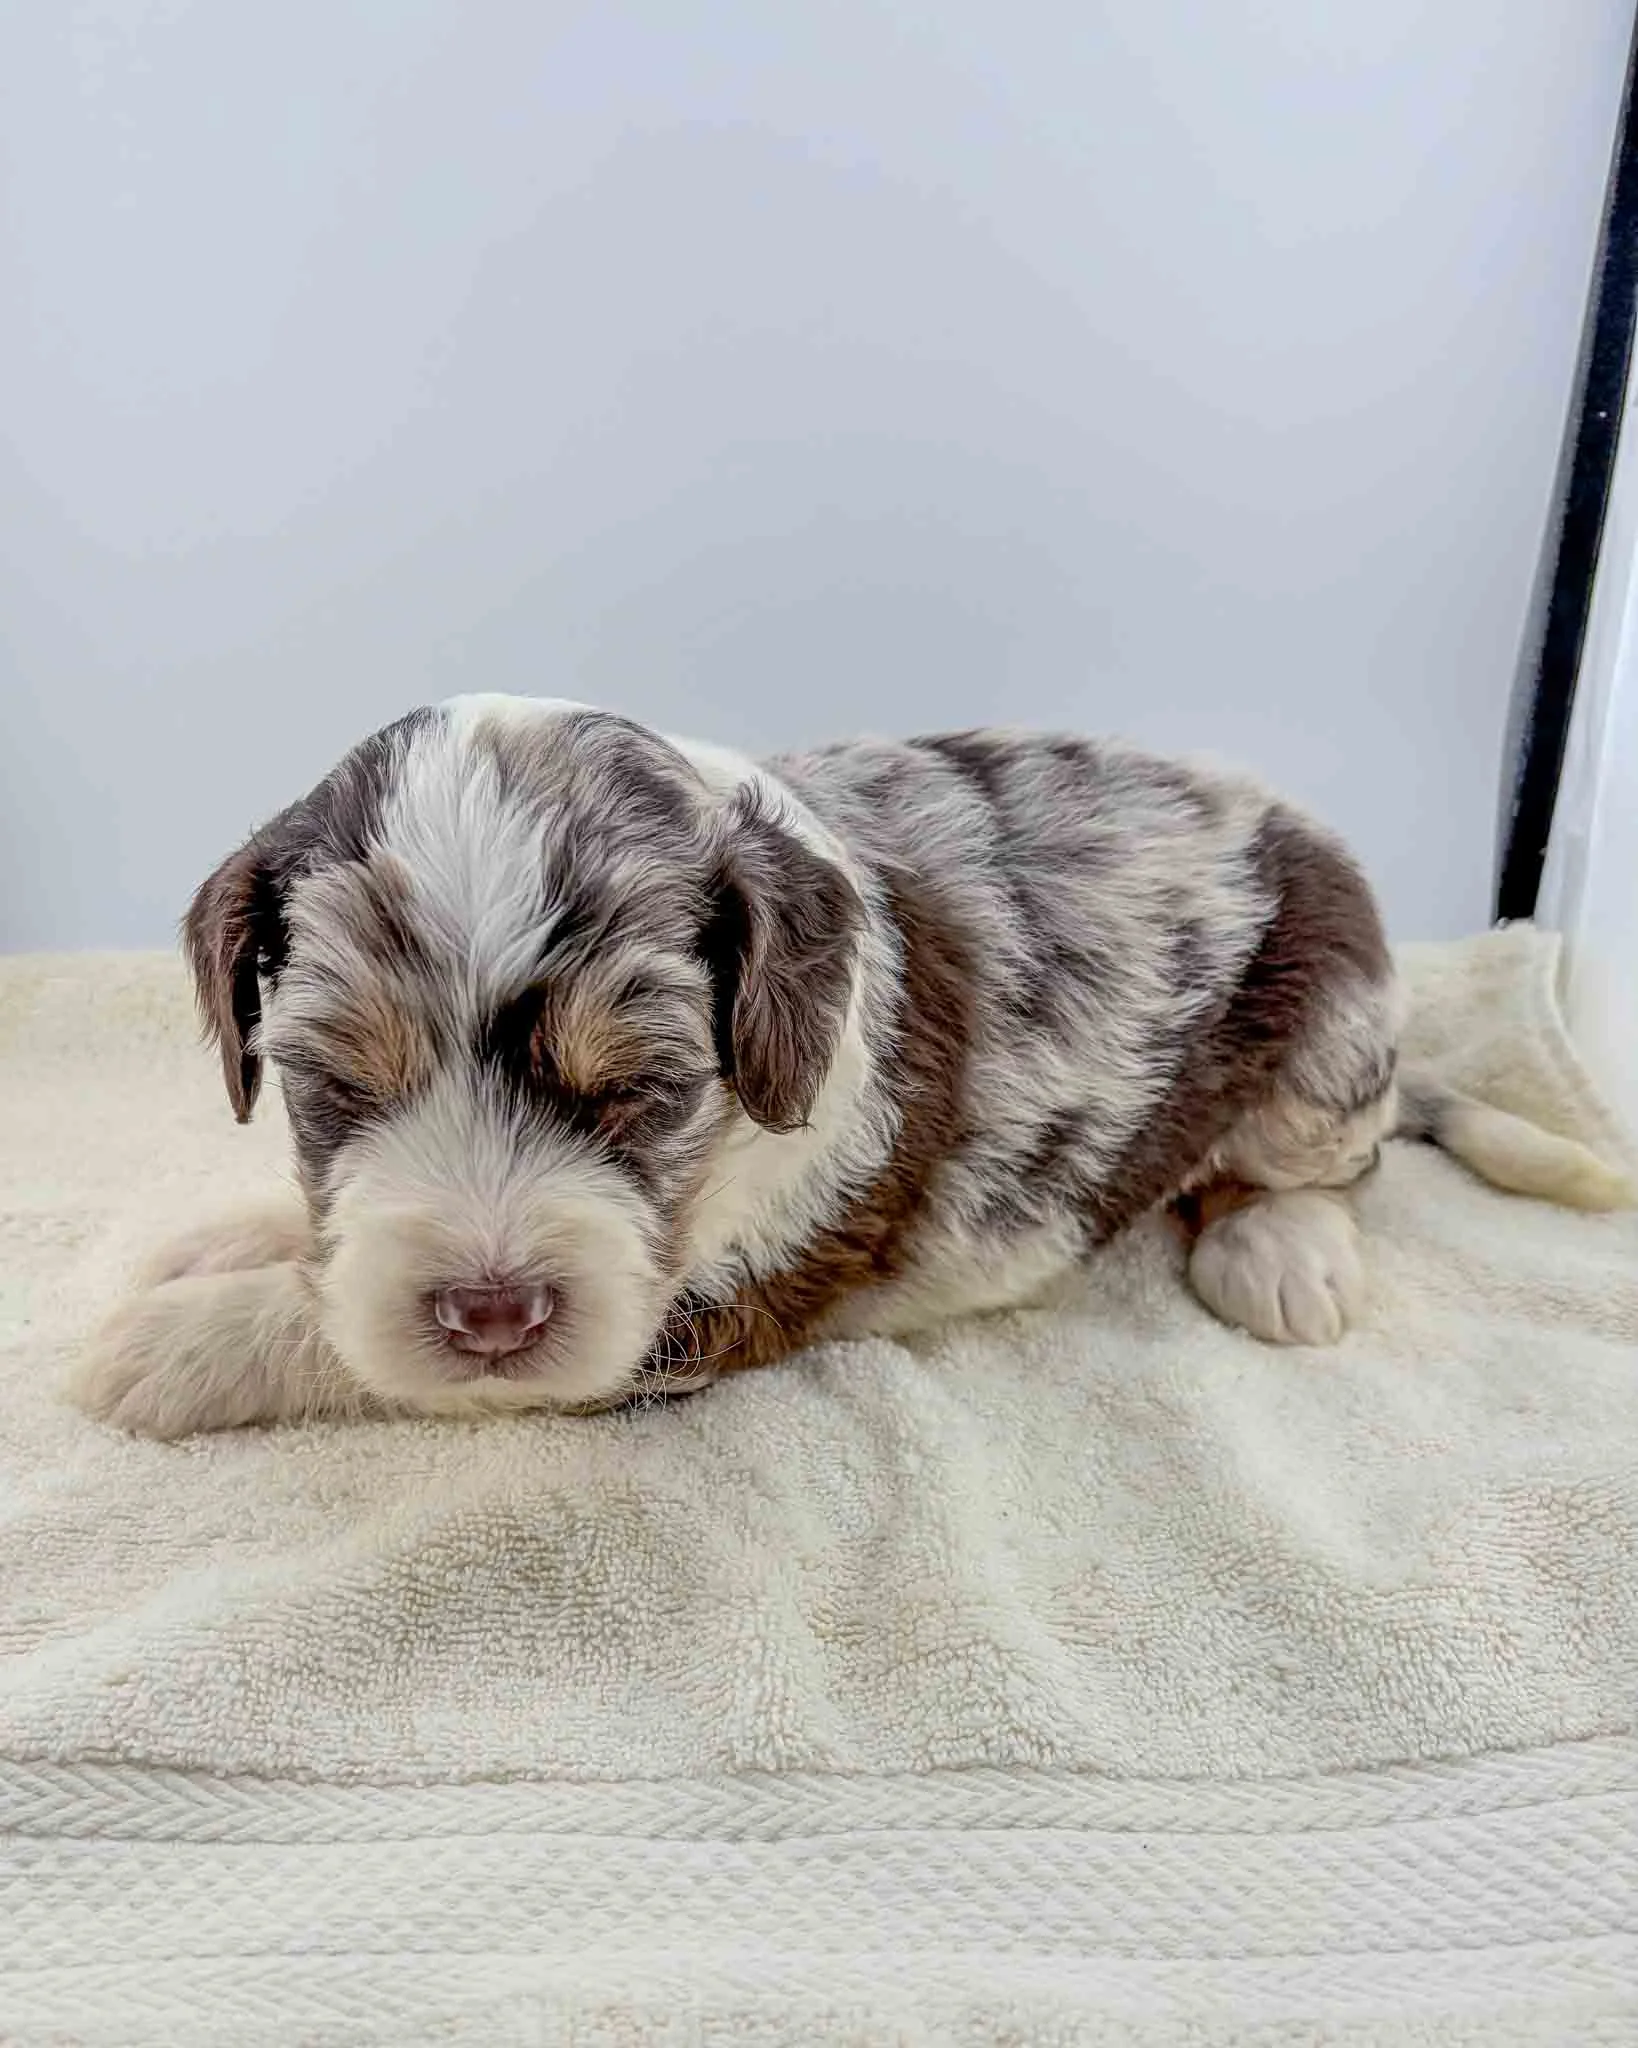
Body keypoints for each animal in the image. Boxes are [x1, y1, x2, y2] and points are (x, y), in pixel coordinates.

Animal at [69, 696, 1631, 1437]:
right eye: (336, 1089)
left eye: (643, 1092)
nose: (491, 1310)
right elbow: (334, 1261)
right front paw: (219, 1241)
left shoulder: (693, 1316)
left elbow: (368, 1352)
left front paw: (164, 1345)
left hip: (1325, 1032)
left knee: (1314, 1166)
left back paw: (1281, 1254)